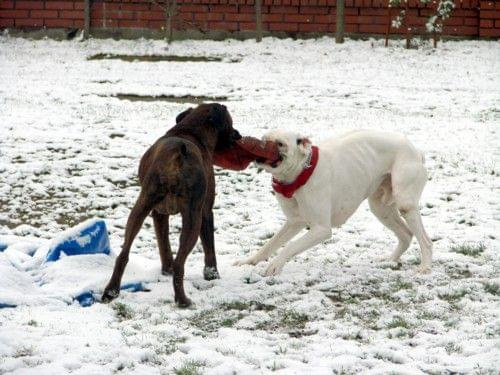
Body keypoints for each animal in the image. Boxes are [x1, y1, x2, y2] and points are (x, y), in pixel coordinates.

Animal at [101, 103, 240, 308]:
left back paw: (111, 291)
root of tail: (178, 154)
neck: (190, 131)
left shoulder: (159, 213)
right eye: (230, 123)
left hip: (141, 207)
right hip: (193, 217)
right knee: (180, 263)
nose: (238, 135)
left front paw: (165, 270)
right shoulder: (206, 211)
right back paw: (183, 300)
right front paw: (212, 275)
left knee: (123, 254)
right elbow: (209, 248)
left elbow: (164, 244)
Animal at [235, 129, 434, 276]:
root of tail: (415, 151)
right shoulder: (294, 223)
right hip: (381, 209)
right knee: (406, 235)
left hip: (405, 205)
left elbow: (290, 246)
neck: (300, 173)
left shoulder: (321, 229)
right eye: (264, 138)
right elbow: (270, 244)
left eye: (280, 143)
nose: (259, 145)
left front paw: (275, 265)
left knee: (425, 240)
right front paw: (249, 261)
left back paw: (425, 267)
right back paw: (390, 259)